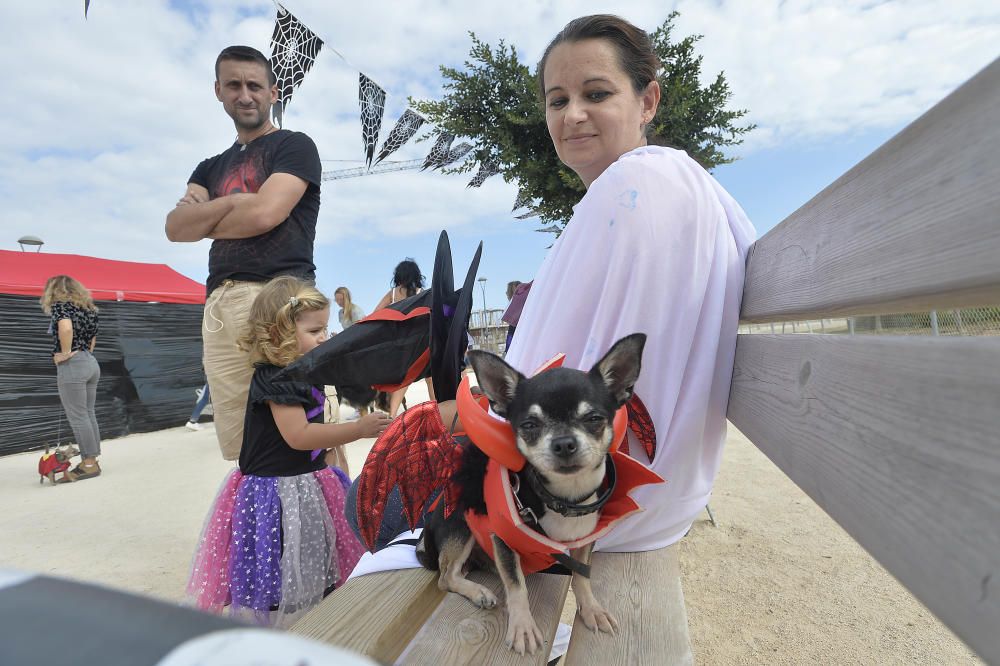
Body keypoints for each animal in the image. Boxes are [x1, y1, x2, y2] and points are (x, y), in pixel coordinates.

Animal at [416, 332, 644, 652]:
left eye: (594, 419)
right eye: (529, 425)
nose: (563, 443)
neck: (563, 498)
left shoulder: (585, 540)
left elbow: (582, 575)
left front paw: (591, 609)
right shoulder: (502, 539)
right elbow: (516, 585)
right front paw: (523, 626)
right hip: (460, 523)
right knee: (446, 577)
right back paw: (479, 592)